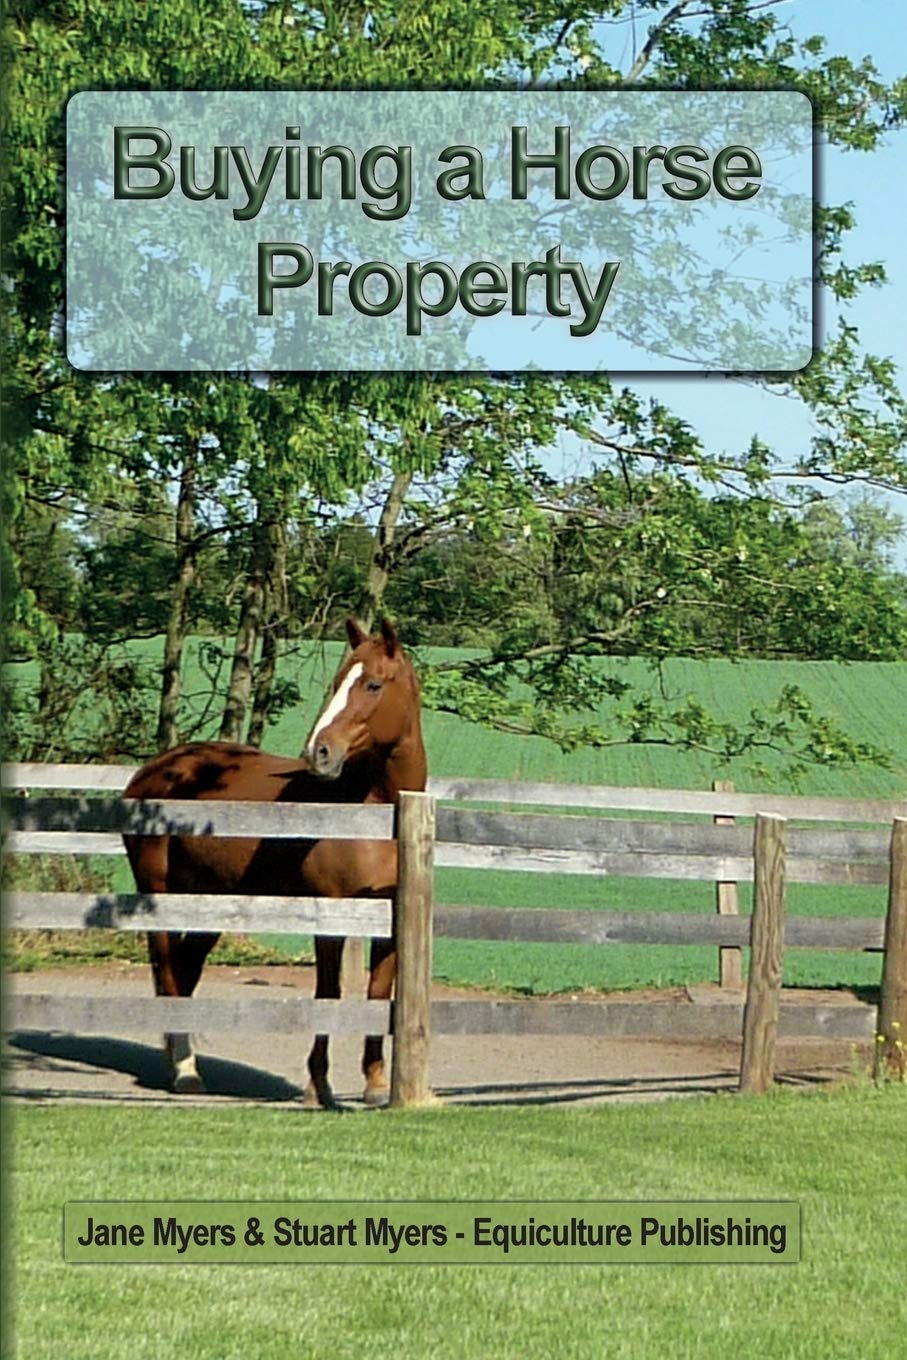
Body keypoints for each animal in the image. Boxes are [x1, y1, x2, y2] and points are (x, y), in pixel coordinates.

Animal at [122, 617, 427, 1108]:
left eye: (374, 684)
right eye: (336, 682)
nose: (319, 752)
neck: (375, 815)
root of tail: (154, 771)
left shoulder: (391, 920)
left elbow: (379, 994)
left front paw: (377, 1083)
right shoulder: (331, 916)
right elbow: (329, 993)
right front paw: (317, 1086)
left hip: (211, 899)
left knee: (185, 972)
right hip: (160, 894)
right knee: (169, 972)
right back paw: (185, 1070)